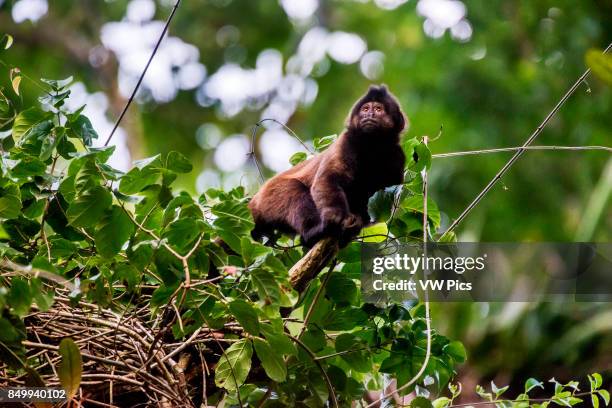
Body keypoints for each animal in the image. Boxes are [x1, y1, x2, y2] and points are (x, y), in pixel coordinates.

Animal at [249, 84, 406, 247]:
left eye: (378, 109)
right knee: (293, 191)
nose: (369, 114)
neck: (372, 147)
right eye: (366, 108)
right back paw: (313, 232)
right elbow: (327, 180)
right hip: (270, 196)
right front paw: (337, 217)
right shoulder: (346, 142)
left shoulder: (397, 157)